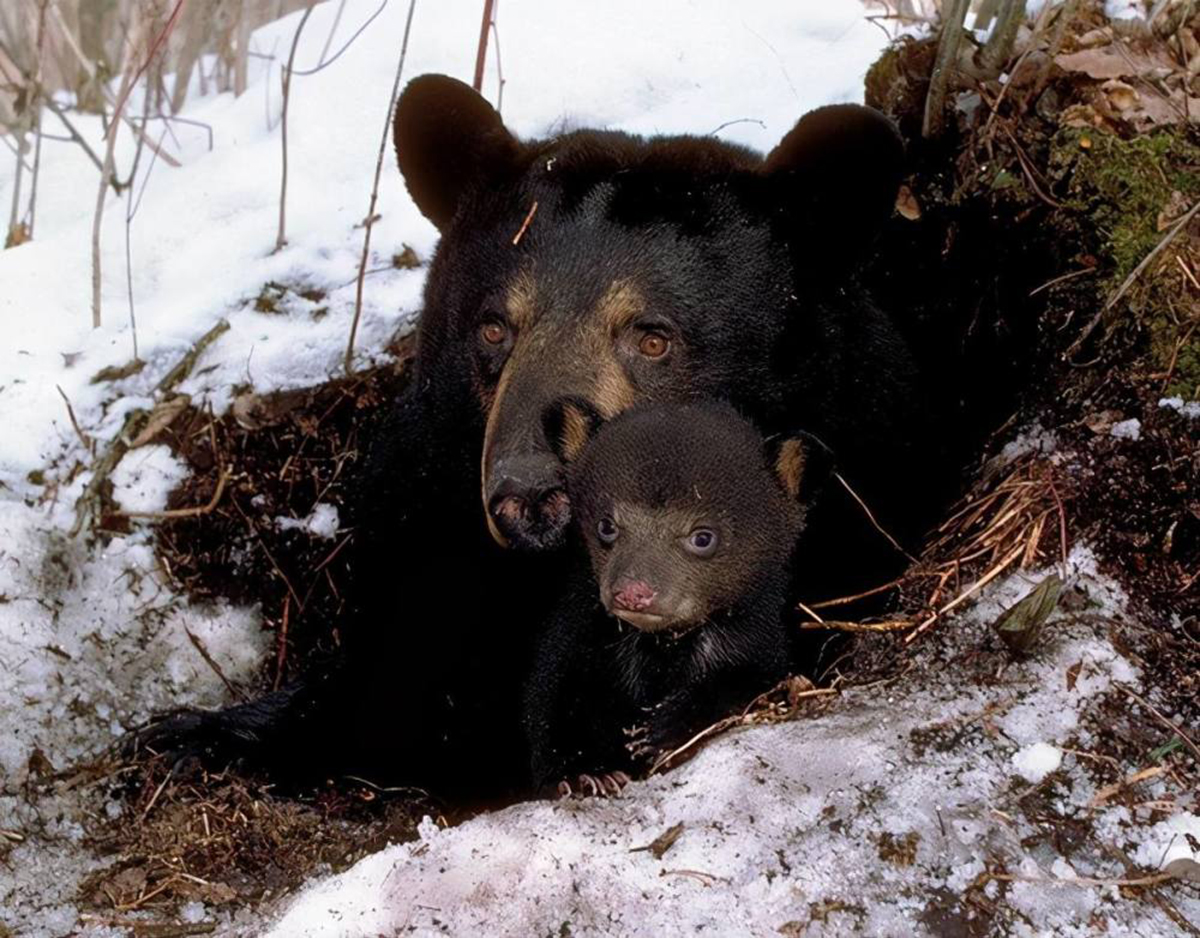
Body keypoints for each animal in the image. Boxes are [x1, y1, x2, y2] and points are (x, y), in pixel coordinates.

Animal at [136, 77, 931, 806]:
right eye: (494, 327)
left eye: (653, 335)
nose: (530, 495)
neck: (539, 585)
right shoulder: (426, 543)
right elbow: (372, 690)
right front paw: (187, 739)